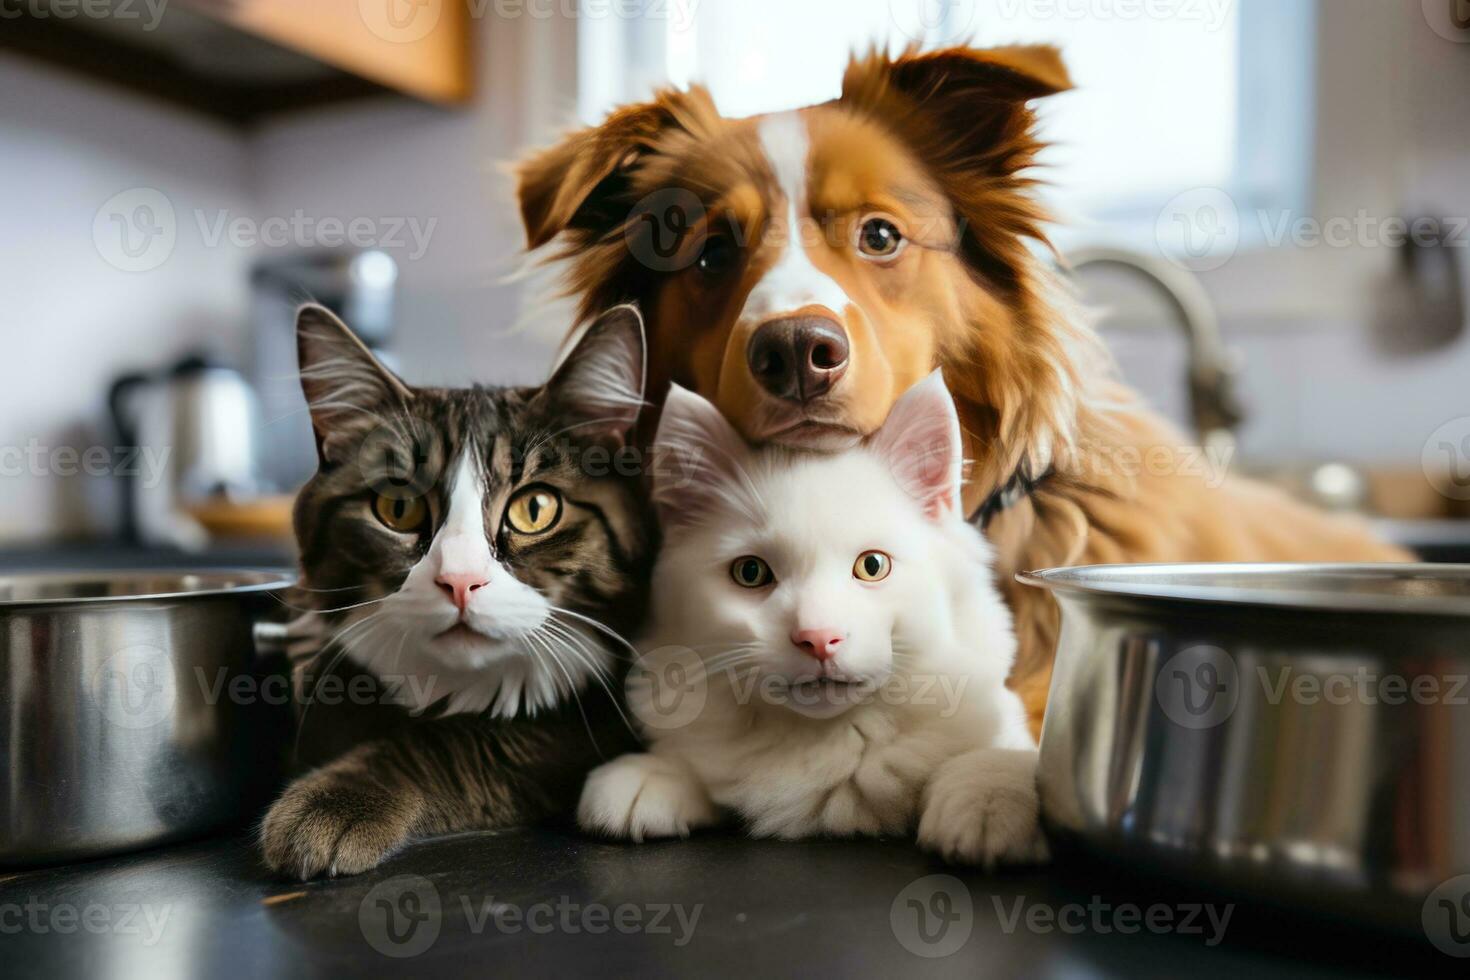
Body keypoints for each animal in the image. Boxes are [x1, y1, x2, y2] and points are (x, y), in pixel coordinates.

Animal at [261, 302, 652, 875]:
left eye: (536, 508)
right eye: (398, 508)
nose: (460, 580)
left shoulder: (579, 724)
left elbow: (453, 745)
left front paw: (329, 805)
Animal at [573, 370, 1046, 863]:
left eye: (872, 566)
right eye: (750, 573)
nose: (818, 638)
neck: (828, 737)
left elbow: (992, 755)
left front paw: (988, 798)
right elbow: (690, 764)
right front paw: (647, 775)